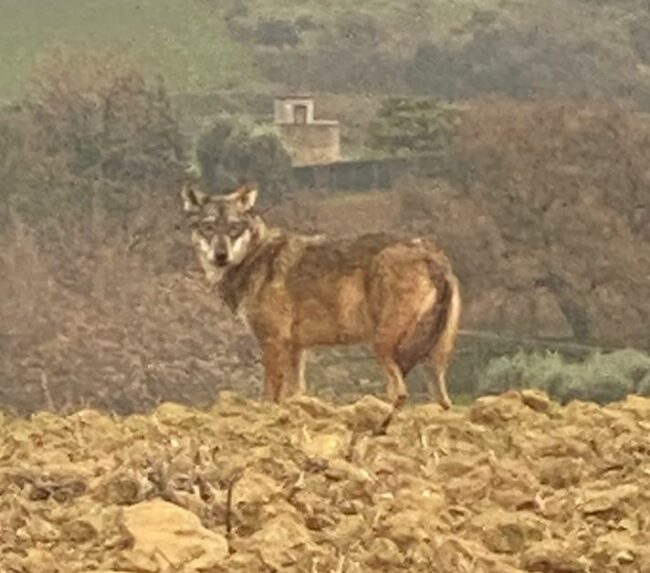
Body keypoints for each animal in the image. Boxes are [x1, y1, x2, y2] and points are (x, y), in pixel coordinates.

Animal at [180, 180, 462, 411]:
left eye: (234, 227)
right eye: (208, 227)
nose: (220, 256)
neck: (254, 257)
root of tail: (430, 255)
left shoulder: (273, 342)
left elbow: (270, 397)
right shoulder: (296, 348)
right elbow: (294, 394)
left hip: (383, 345)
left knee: (400, 393)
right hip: (436, 360)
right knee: (444, 401)